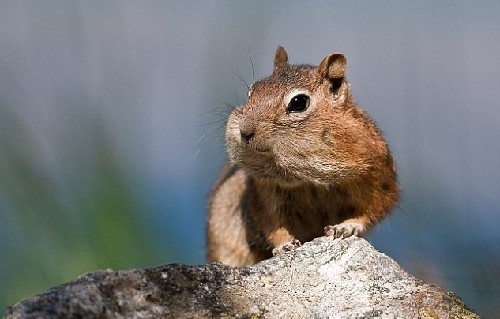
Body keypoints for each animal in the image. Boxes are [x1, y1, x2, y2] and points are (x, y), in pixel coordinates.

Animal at [206, 47, 398, 268]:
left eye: (298, 102)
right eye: (251, 92)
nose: (244, 131)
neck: (309, 177)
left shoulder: (378, 176)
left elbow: (375, 208)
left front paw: (348, 227)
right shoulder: (265, 193)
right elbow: (271, 222)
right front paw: (284, 245)